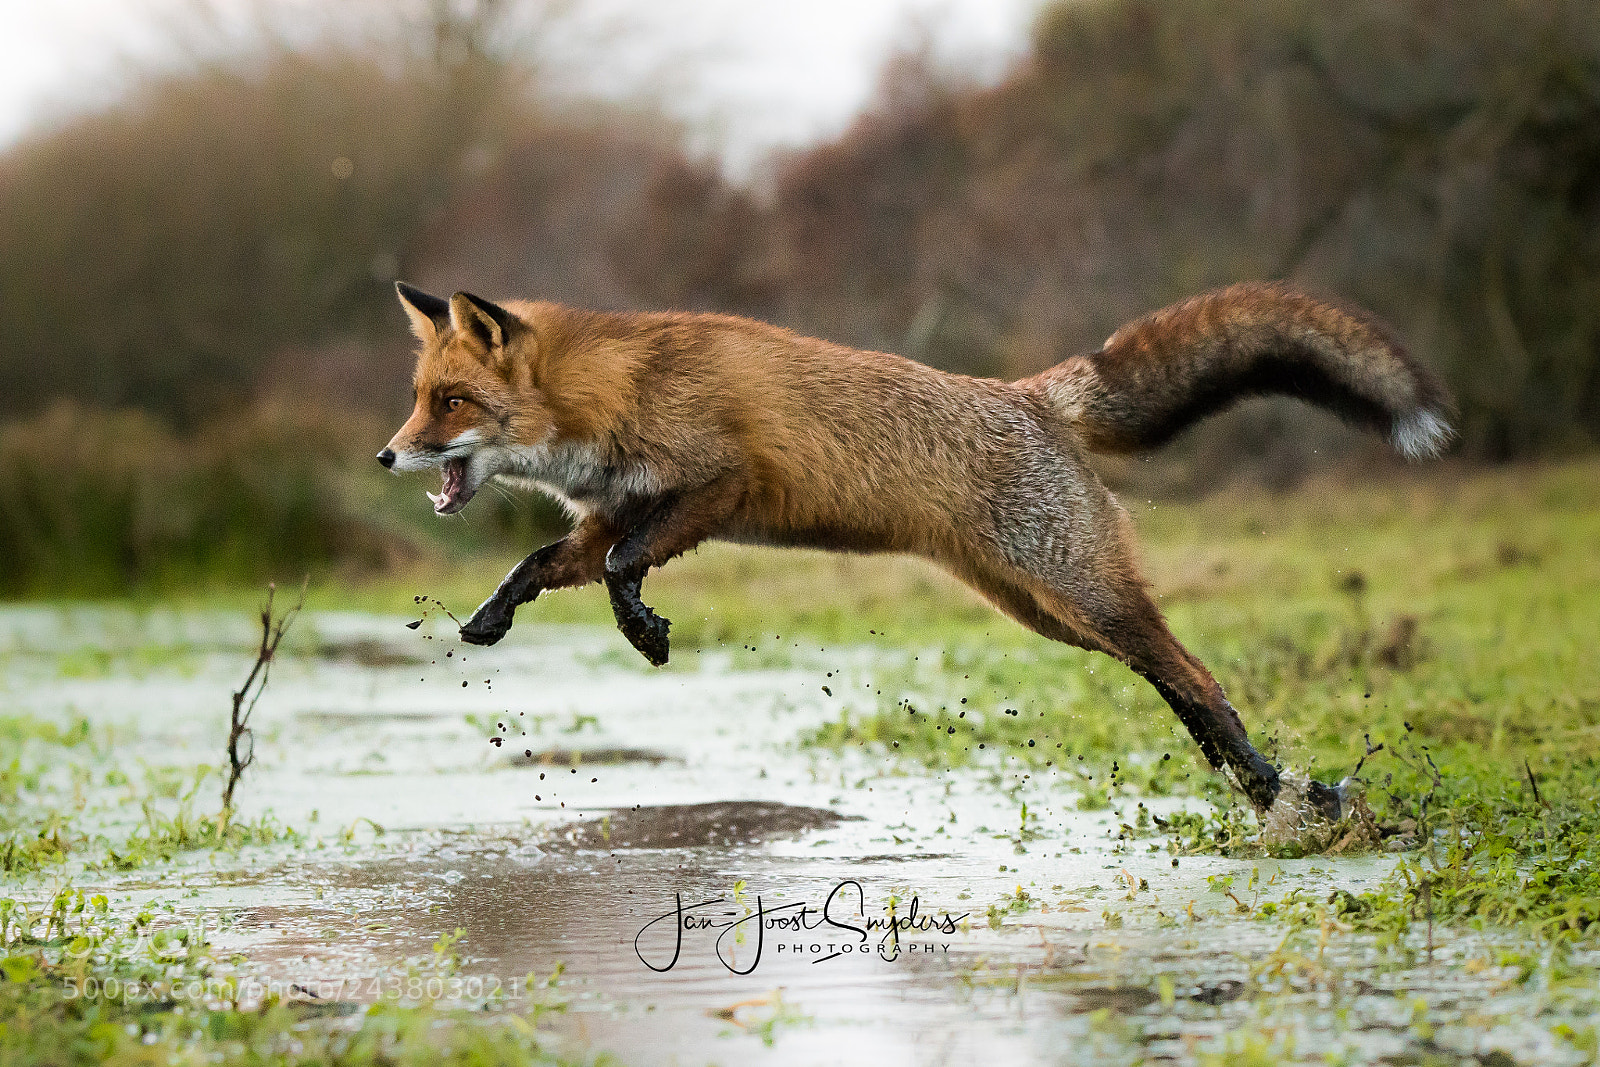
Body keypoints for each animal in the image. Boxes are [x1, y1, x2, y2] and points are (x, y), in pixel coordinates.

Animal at [379, 281, 1452, 824]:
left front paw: (644, 630)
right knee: (1174, 678)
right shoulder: (620, 510)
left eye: (452, 402)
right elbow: (543, 562)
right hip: (1050, 613)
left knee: (1197, 674)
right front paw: (489, 616)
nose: (387, 454)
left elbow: (616, 570)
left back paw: (1276, 790)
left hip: (1080, 592)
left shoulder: (723, 483)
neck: (615, 391)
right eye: (422, 396)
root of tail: (1031, 394)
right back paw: (1260, 784)